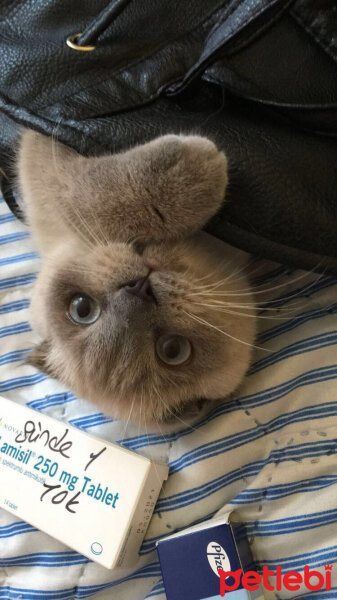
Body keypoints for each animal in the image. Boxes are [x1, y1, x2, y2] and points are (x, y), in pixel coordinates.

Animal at [18, 134, 255, 428]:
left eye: (81, 309)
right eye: (172, 350)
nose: (140, 288)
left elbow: (79, 194)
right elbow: (76, 193)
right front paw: (193, 162)